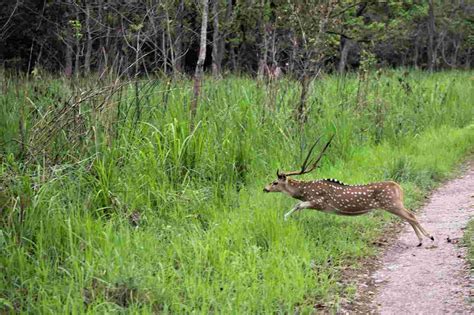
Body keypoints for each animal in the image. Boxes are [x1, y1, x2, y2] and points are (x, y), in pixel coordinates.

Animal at [264, 137, 436, 248]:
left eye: (274, 182)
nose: (265, 188)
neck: (305, 191)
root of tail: (399, 187)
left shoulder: (319, 202)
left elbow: (298, 205)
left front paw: (285, 218)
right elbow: (298, 205)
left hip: (391, 203)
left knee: (411, 216)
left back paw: (427, 237)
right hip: (395, 204)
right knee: (410, 215)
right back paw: (422, 239)